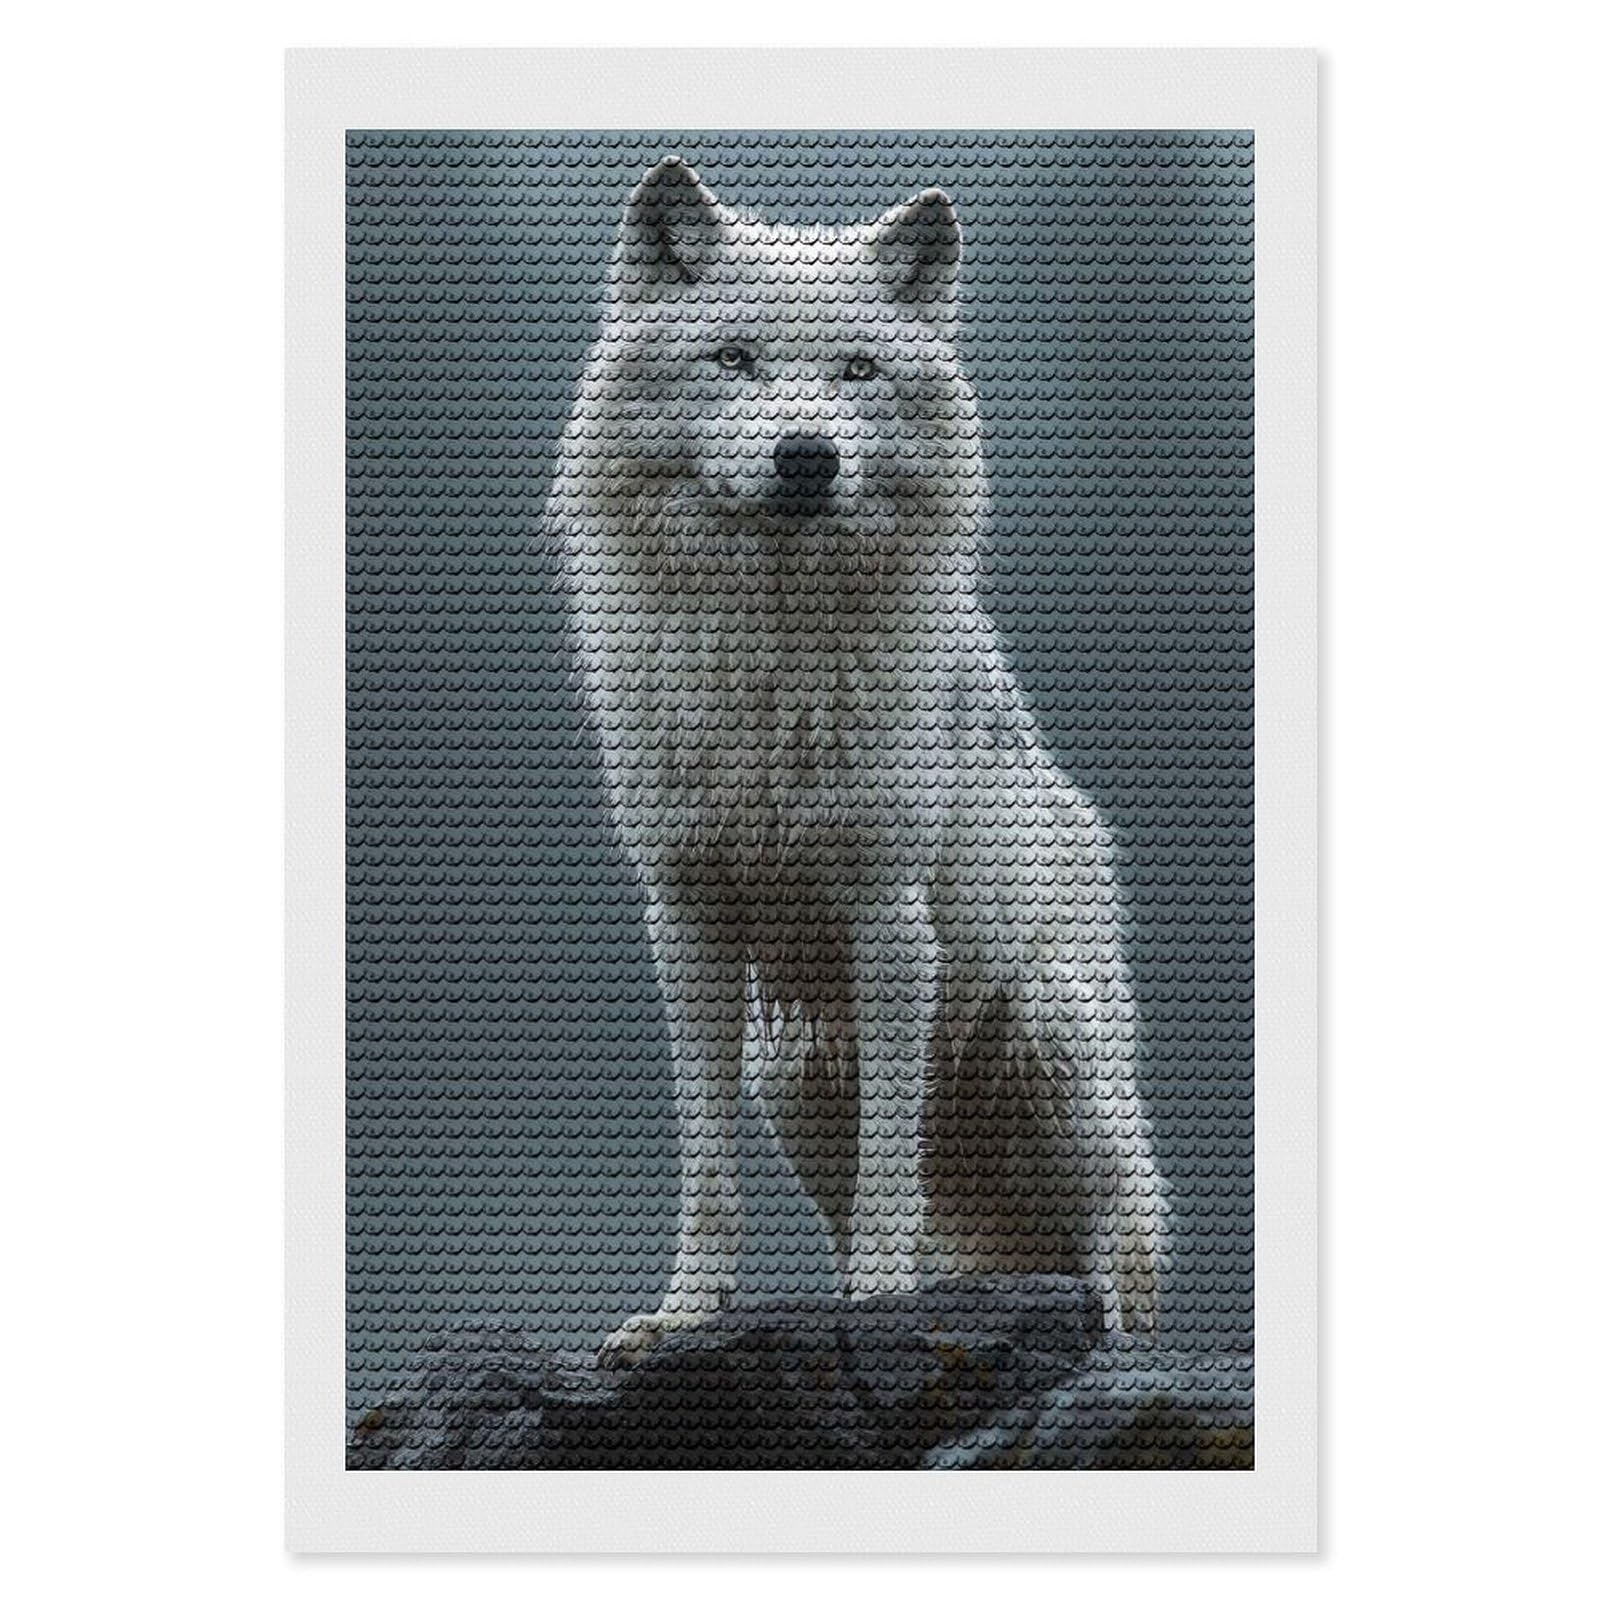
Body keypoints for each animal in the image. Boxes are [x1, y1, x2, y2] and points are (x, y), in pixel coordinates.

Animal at [546, 158, 1167, 1366]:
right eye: (734, 359)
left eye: (856, 370)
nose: (806, 455)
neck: (770, 652)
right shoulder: (689, 920)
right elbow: (709, 1169)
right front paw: (686, 1315)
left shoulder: (888, 922)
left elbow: (892, 1165)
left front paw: (884, 1305)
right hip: (795, 1074)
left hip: (1050, 1051)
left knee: (1116, 1237)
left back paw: (1102, 1343)